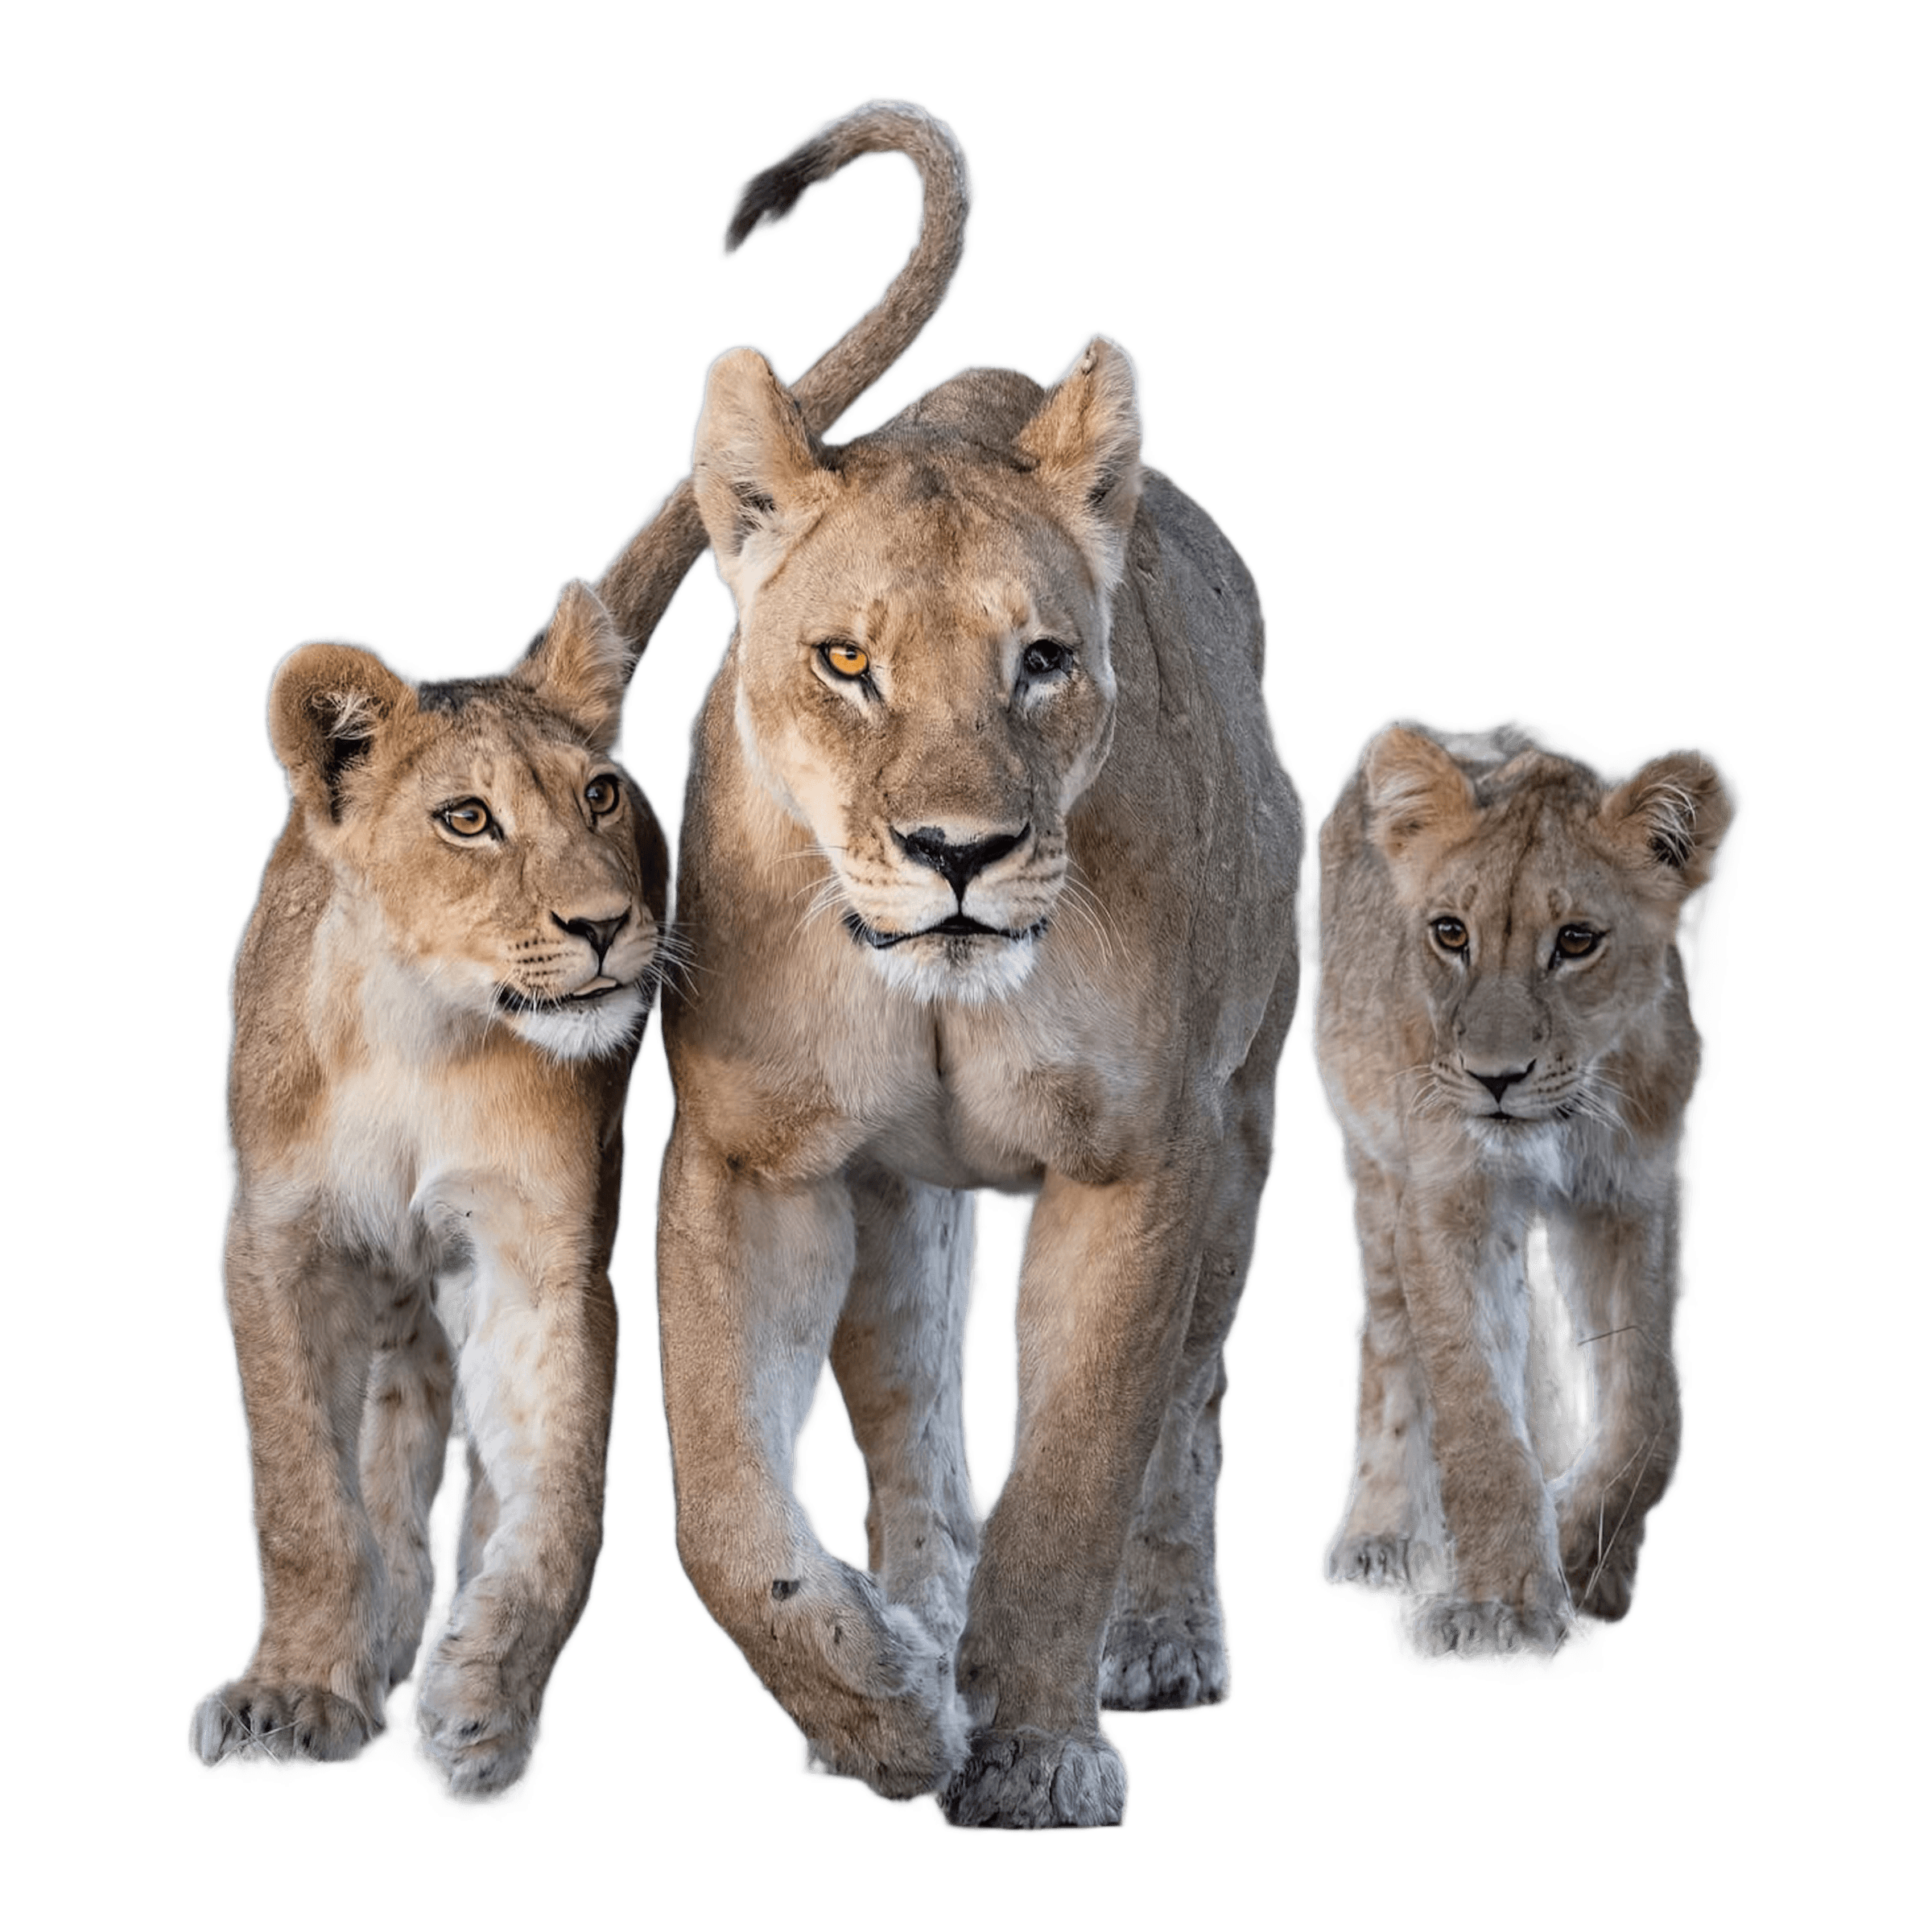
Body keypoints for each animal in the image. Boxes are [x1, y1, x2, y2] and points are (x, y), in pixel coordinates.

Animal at [184, 97, 974, 1806]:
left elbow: (553, 1502)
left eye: (602, 794)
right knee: (389, 1450)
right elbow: (299, 1496)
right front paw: (294, 1695)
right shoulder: (272, 1244)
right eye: (469, 819)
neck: (420, 1034)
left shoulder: (542, 1248)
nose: (605, 923)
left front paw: (485, 1701)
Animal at [652, 129, 1306, 1829]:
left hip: (1245, 1140)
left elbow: (1078, 1478)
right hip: (900, 1205)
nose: (959, 851)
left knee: (1193, 1411)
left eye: (1044, 660)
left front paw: (1035, 1753)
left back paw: (1157, 1640)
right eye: (845, 661)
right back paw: (906, 1624)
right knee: (912, 1422)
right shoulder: (753, 1158)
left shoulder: (1139, 1160)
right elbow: (725, 1516)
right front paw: (879, 1703)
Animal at [1310, 716, 1742, 1664]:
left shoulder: (1636, 1200)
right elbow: (1475, 1415)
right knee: (1389, 1340)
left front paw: (1581, 1547)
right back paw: (1384, 1532)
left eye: (1576, 941)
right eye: (1450, 932)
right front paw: (1500, 1607)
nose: (1494, 1078)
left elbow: (1651, 1412)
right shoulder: (1447, 1199)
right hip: (1372, 1163)